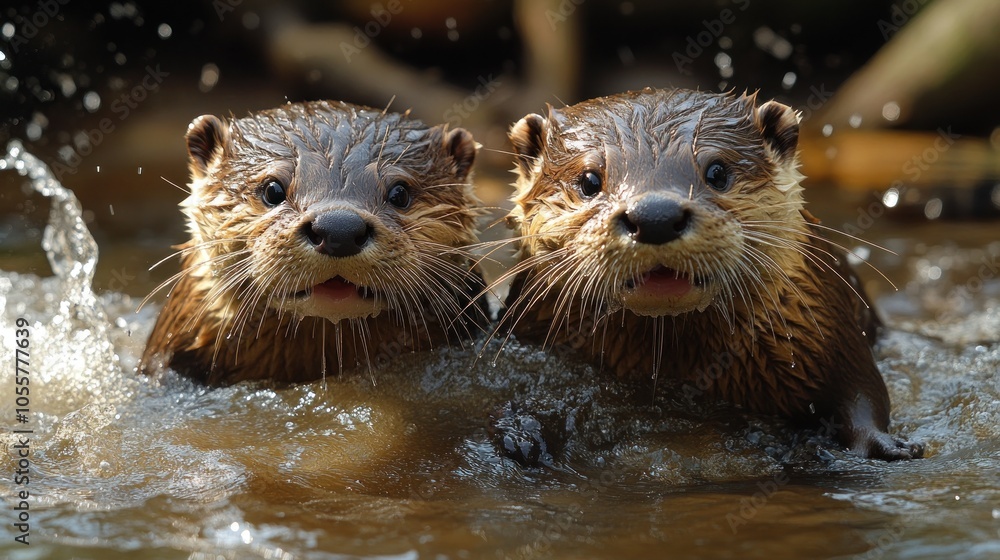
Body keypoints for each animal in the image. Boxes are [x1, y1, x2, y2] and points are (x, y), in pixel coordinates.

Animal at [498, 88, 923, 460]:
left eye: (717, 172)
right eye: (589, 180)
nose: (655, 215)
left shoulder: (828, 331)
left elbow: (862, 393)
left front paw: (887, 445)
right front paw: (524, 432)